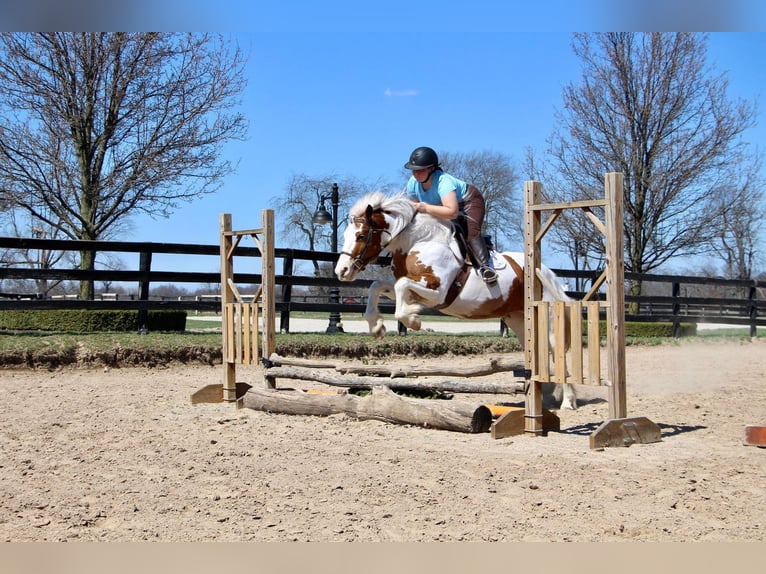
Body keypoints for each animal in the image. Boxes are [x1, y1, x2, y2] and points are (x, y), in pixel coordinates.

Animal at [336, 191, 584, 412]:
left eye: (360, 236)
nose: (342, 271)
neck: (419, 242)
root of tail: (546, 272)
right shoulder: (410, 287)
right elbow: (377, 285)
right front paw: (376, 326)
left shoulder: (438, 291)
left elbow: (401, 287)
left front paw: (413, 320)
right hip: (519, 320)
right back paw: (544, 398)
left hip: (547, 319)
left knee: (556, 351)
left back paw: (567, 401)